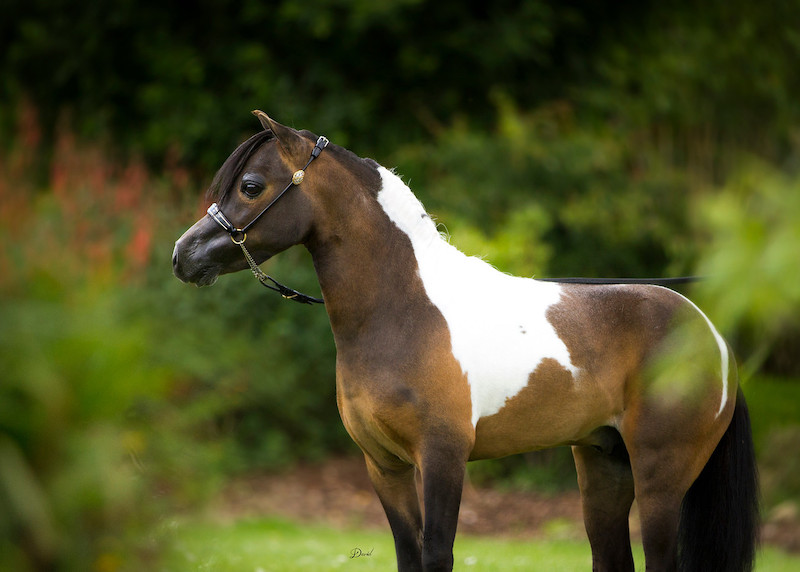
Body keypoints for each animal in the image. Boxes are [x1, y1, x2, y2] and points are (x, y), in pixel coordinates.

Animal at [172, 112, 759, 572]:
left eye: (251, 186)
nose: (183, 256)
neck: (404, 311)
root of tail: (709, 334)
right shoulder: (383, 465)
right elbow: (409, 555)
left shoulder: (442, 457)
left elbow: (438, 554)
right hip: (602, 464)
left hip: (662, 479)